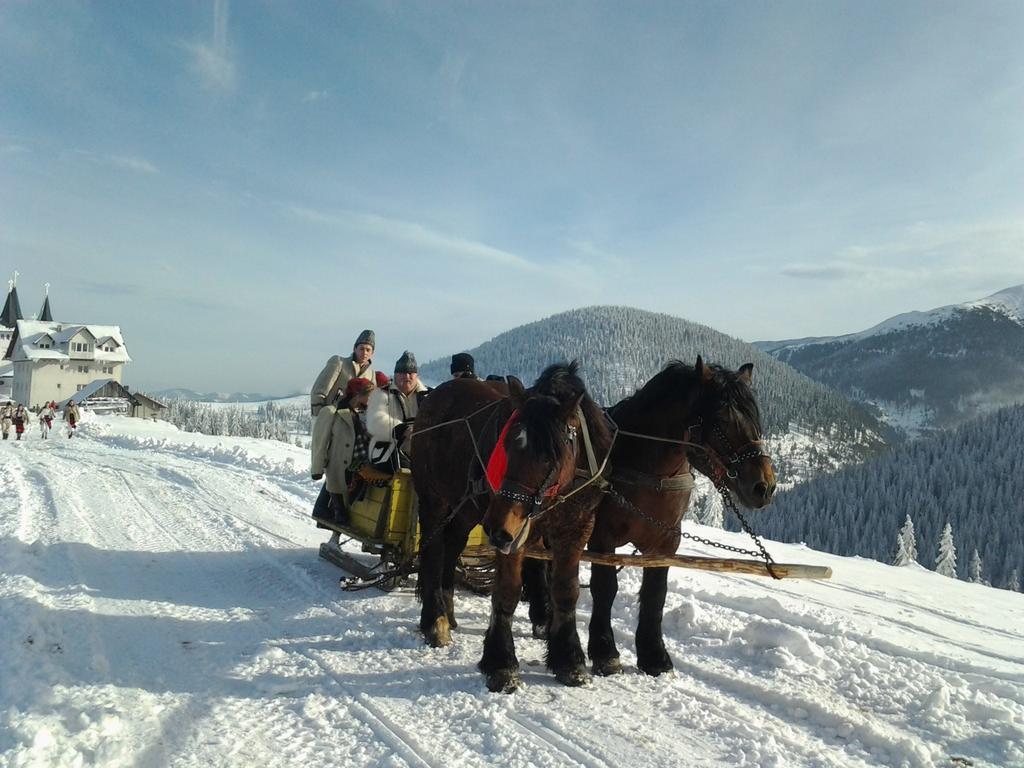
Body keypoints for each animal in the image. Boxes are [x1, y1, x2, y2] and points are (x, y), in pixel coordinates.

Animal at [477, 364, 610, 696]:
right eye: (506, 446)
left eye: (550, 456)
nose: (495, 528)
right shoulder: (514, 535)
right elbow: (506, 592)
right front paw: (501, 663)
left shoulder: (576, 529)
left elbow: (566, 590)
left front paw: (569, 659)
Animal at [589, 358, 770, 675]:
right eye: (721, 420)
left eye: (754, 419)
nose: (764, 486)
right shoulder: (602, 538)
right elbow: (605, 587)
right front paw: (604, 651)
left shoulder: (665, 542)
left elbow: (655, 594)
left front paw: (654, 655)